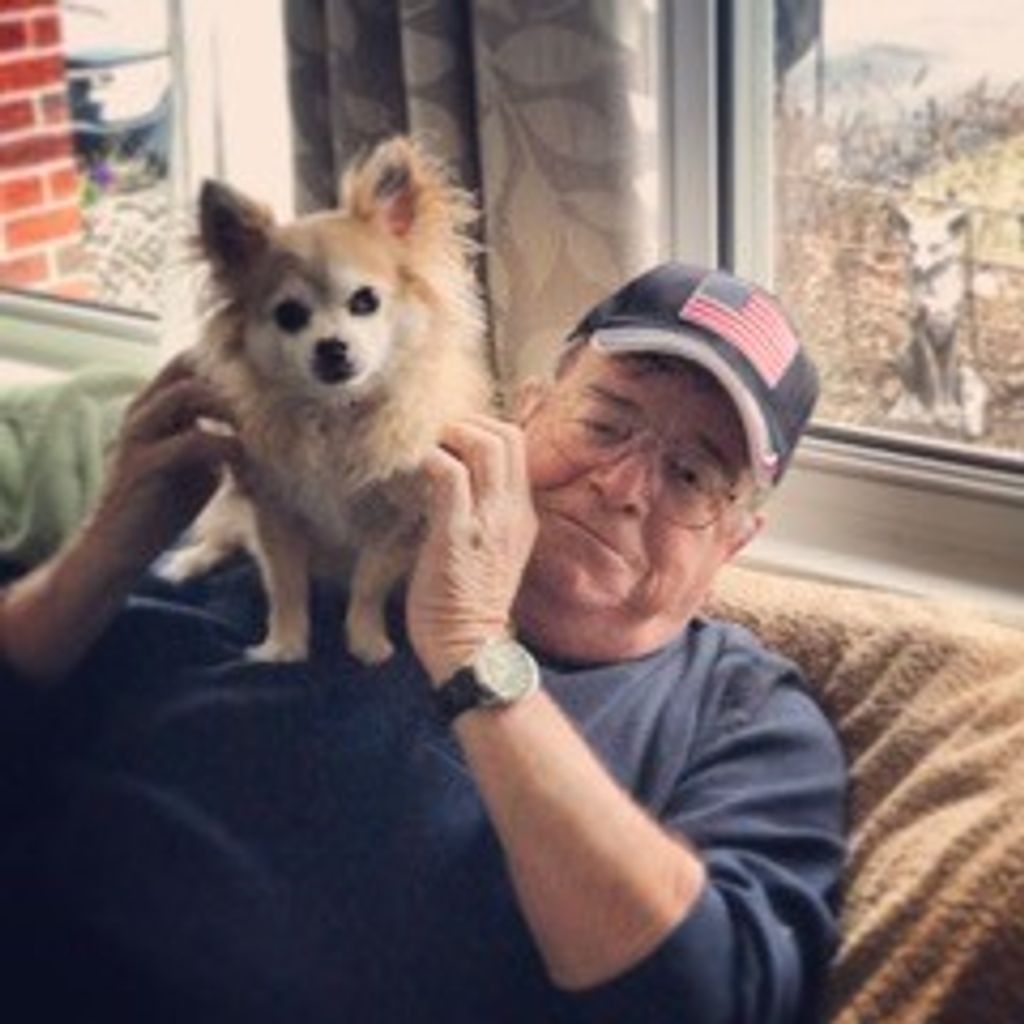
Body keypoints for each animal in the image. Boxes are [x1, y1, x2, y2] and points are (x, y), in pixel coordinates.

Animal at [164, 136, 493, 664]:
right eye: (289, 315)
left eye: (365, 301)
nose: (332, 346)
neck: (336, 413)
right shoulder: (273, 511)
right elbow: (285, 584)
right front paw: (284, 644)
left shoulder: (398, 523)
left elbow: (368, 584)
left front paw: (366, 641)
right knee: (226, 531)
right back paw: (192, 561)